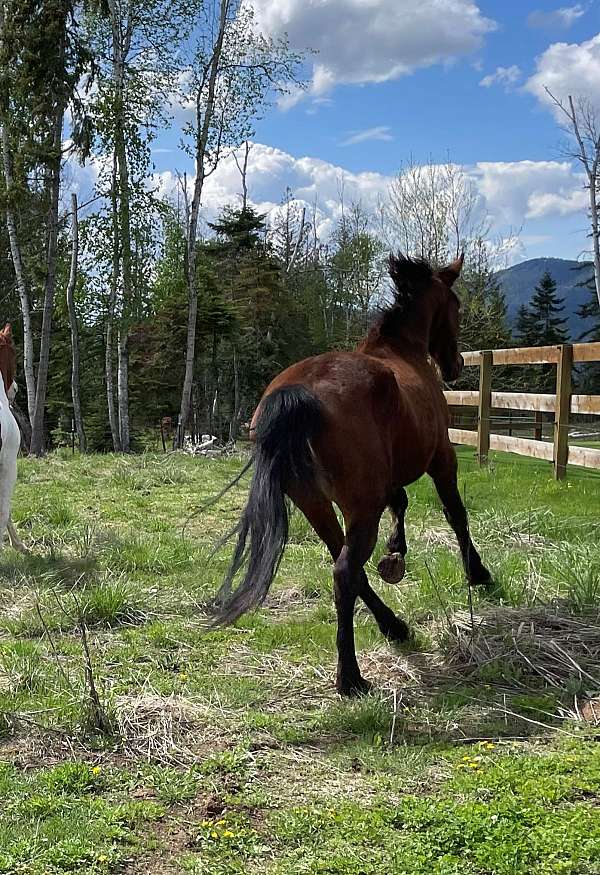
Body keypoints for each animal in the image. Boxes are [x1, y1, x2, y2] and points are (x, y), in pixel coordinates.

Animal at [213, 255, 490, 700]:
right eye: (456, 306)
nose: (456, 365)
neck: (401, 352)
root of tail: (297, 394)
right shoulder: (442, 457)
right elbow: (456, 514)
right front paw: (477, 572)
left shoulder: (388, 482)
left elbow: (401, 501)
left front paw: (396, 552)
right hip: (360, 507)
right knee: (345, 572)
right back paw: (351, 676)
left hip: (316, 505)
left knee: (346, 566)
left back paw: (393, 626)